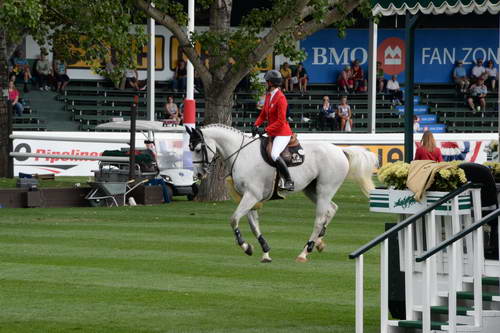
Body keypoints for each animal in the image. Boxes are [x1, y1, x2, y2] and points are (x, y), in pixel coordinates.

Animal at [186, 124, 376, 262]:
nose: (198, 175)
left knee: (319, 219)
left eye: (198, 149)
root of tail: (340, 150)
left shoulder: (251, 196)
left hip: (325, 189)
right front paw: (265, 252)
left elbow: (234, 219)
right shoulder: (251, 198)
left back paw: (305, 251)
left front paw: (245, 246)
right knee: (332, 209)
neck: (242, 154)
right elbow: (254, 226)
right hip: (311, 190)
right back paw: (319, 242)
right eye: (190, 149)